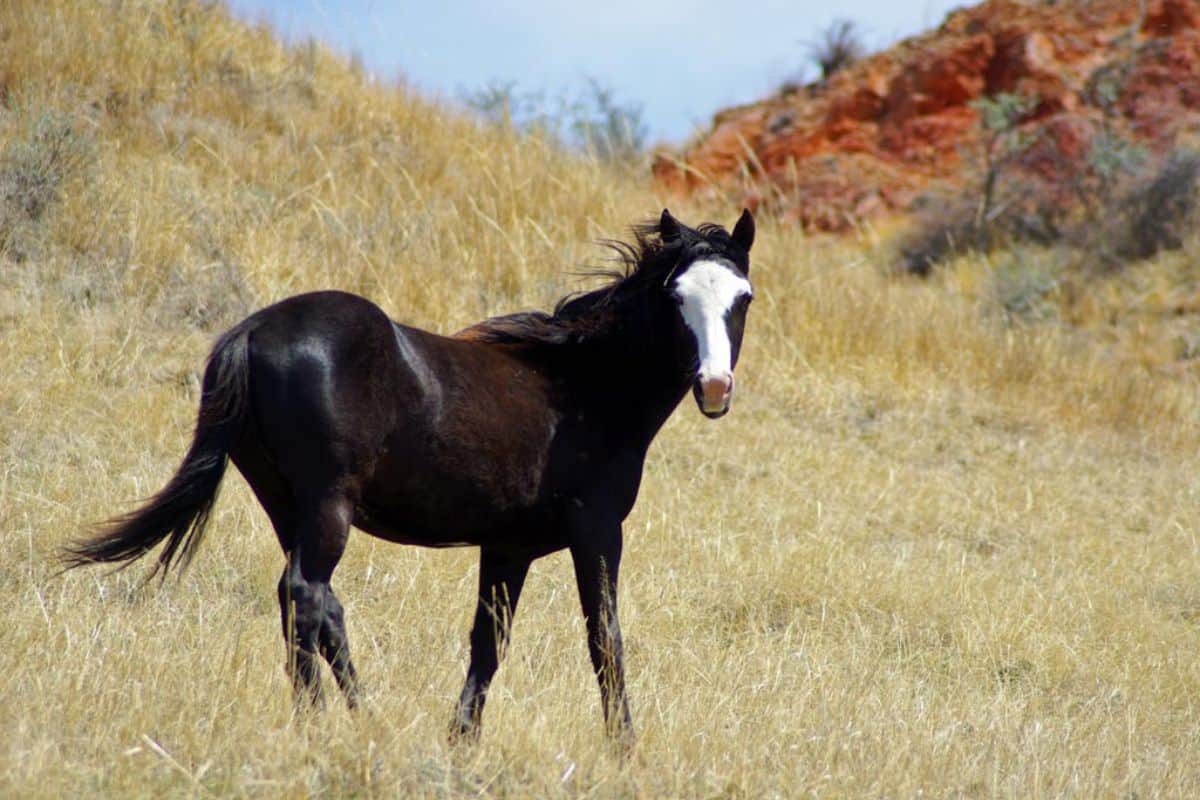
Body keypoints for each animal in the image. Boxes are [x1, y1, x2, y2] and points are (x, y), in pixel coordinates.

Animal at [63, 208, 756, 744]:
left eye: (742, 298)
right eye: (676, 297)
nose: (714, 387)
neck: (579, 386)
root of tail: (253, 331)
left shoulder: (508, 548)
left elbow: (488, 643)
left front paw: (461, 741)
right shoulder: (598, 531)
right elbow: (604, 639)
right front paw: (624, 748)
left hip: (287, 504)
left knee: (322, 606)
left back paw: (364, 720)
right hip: (328, 505)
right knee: (304, 595)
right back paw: (314, 726)